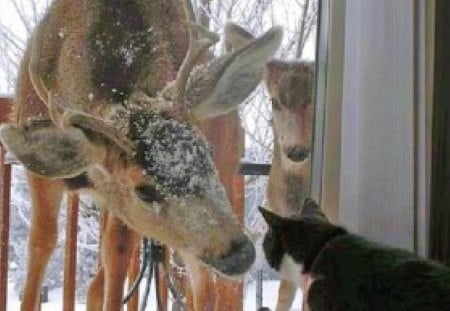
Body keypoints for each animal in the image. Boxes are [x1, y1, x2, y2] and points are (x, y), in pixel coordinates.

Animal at [0, 0, 284, 311]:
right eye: (144, 191)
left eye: (205, 153)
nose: (240, 253)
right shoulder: (40, 174)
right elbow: (42, 241)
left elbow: (117, 250)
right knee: (96, 282)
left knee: (202, 287)